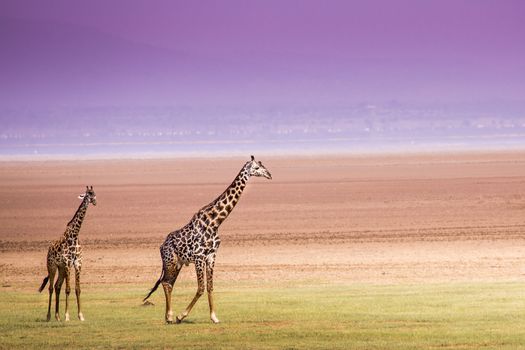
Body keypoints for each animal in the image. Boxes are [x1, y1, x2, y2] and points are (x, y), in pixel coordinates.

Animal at [39, 186, 97, 322]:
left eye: (94, 193)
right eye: (88, 194)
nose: (94, 201)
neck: (74, 235)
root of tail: (49, 249)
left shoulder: (77, 263)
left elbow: (77, 289)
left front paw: (80, 315)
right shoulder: (67, 263)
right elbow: (68, 289)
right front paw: (67, 316)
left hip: (61, 269)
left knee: (57, 286)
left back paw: (57, 316)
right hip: (52, 266)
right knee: (51, 287)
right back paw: (49, 316)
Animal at [144, 154, 272, 324]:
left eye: (263, 165)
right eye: (257, 168)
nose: (269, 174)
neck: (215, 222)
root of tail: (161, 246)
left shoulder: (211, 256)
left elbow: (210, 287)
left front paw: (214, 317)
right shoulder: (199, 256)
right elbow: (201, 288)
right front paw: (181, 315)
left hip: (178, 263)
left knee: (169, 283)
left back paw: (167, 316)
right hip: (170, 261)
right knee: (166, 282)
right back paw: (170, 316)